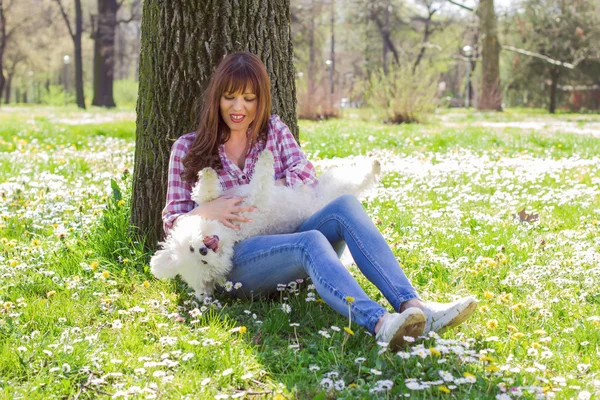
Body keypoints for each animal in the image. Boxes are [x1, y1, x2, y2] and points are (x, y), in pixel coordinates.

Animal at [151, 151, 380, 300]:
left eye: (192, 249)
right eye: (203, 263)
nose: (203, 250)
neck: (229, 230)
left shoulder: (218, 202)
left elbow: (205, 194)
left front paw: (207, 173)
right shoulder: (258, 202)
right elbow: (261, 180)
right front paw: (266, 157)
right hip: (332, 190)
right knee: (354, 182)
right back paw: (373, 168)